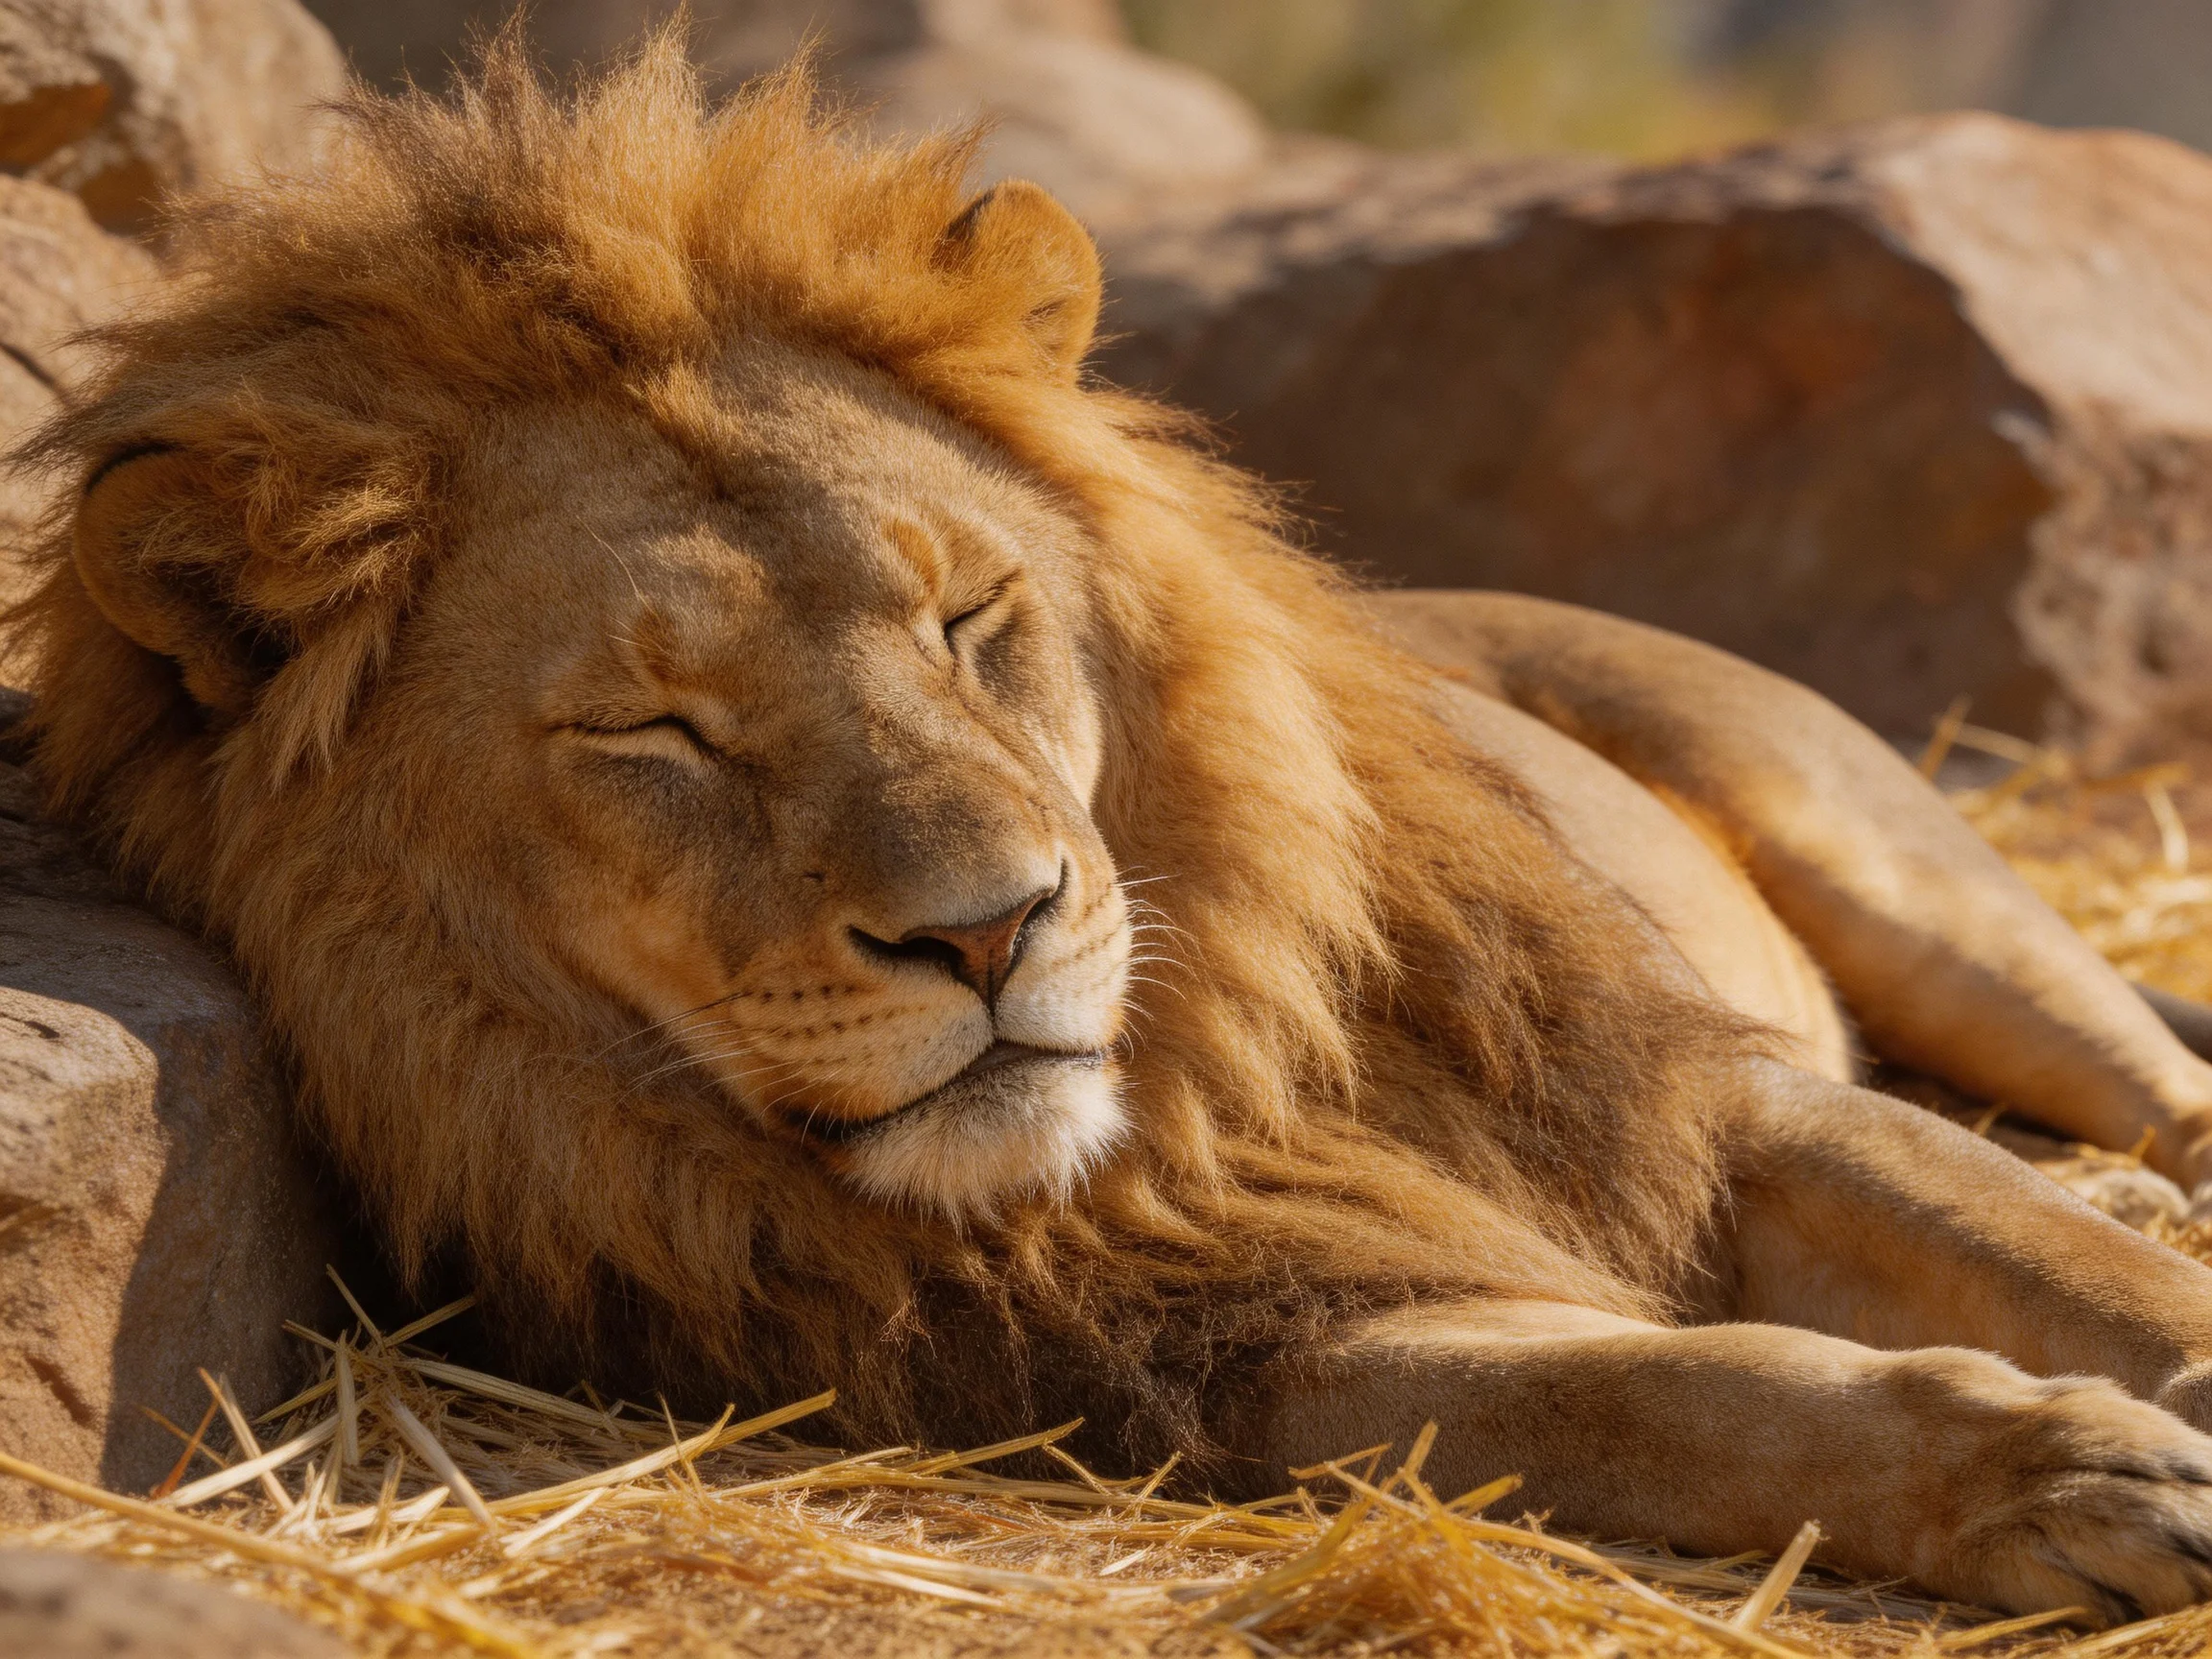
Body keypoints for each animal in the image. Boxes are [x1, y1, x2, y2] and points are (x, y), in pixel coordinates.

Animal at [22, 34, 2212, 1621]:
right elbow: (1667, 1393)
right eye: (655, 727)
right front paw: (2073, 1472)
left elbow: (2067, 1258)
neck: (1195, 1079)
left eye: (968, 616)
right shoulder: (1238, 1329)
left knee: (2149, 1098)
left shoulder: (1703, 1092)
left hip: (1903, 868)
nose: (989, 930)